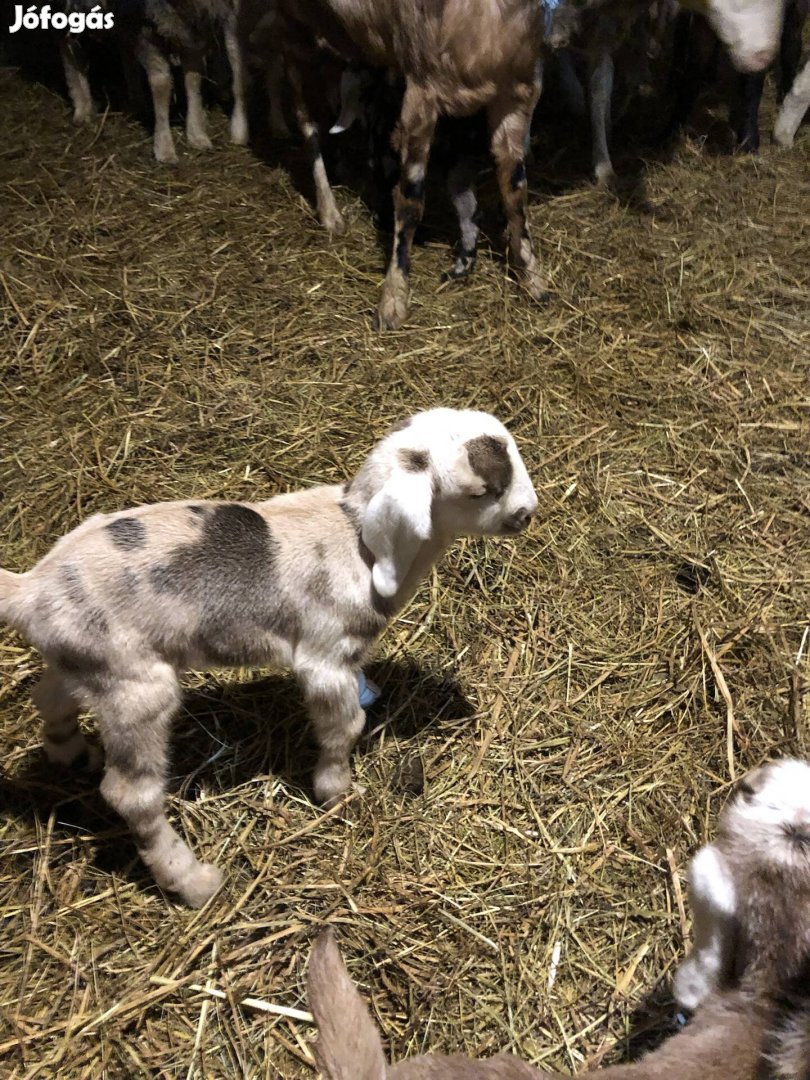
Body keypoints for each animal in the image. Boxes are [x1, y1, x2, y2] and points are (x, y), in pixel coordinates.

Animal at [0, 409, 538, 908]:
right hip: (136, 688)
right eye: (482, 491)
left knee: (49, 698)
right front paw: (336, 791)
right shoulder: (324, 658)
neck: (356, 537)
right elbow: (345, 727)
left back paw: (72, 754)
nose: (528, 512)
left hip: (87, 662)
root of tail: (30, 590)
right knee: (130, 795)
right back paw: (192, 882)